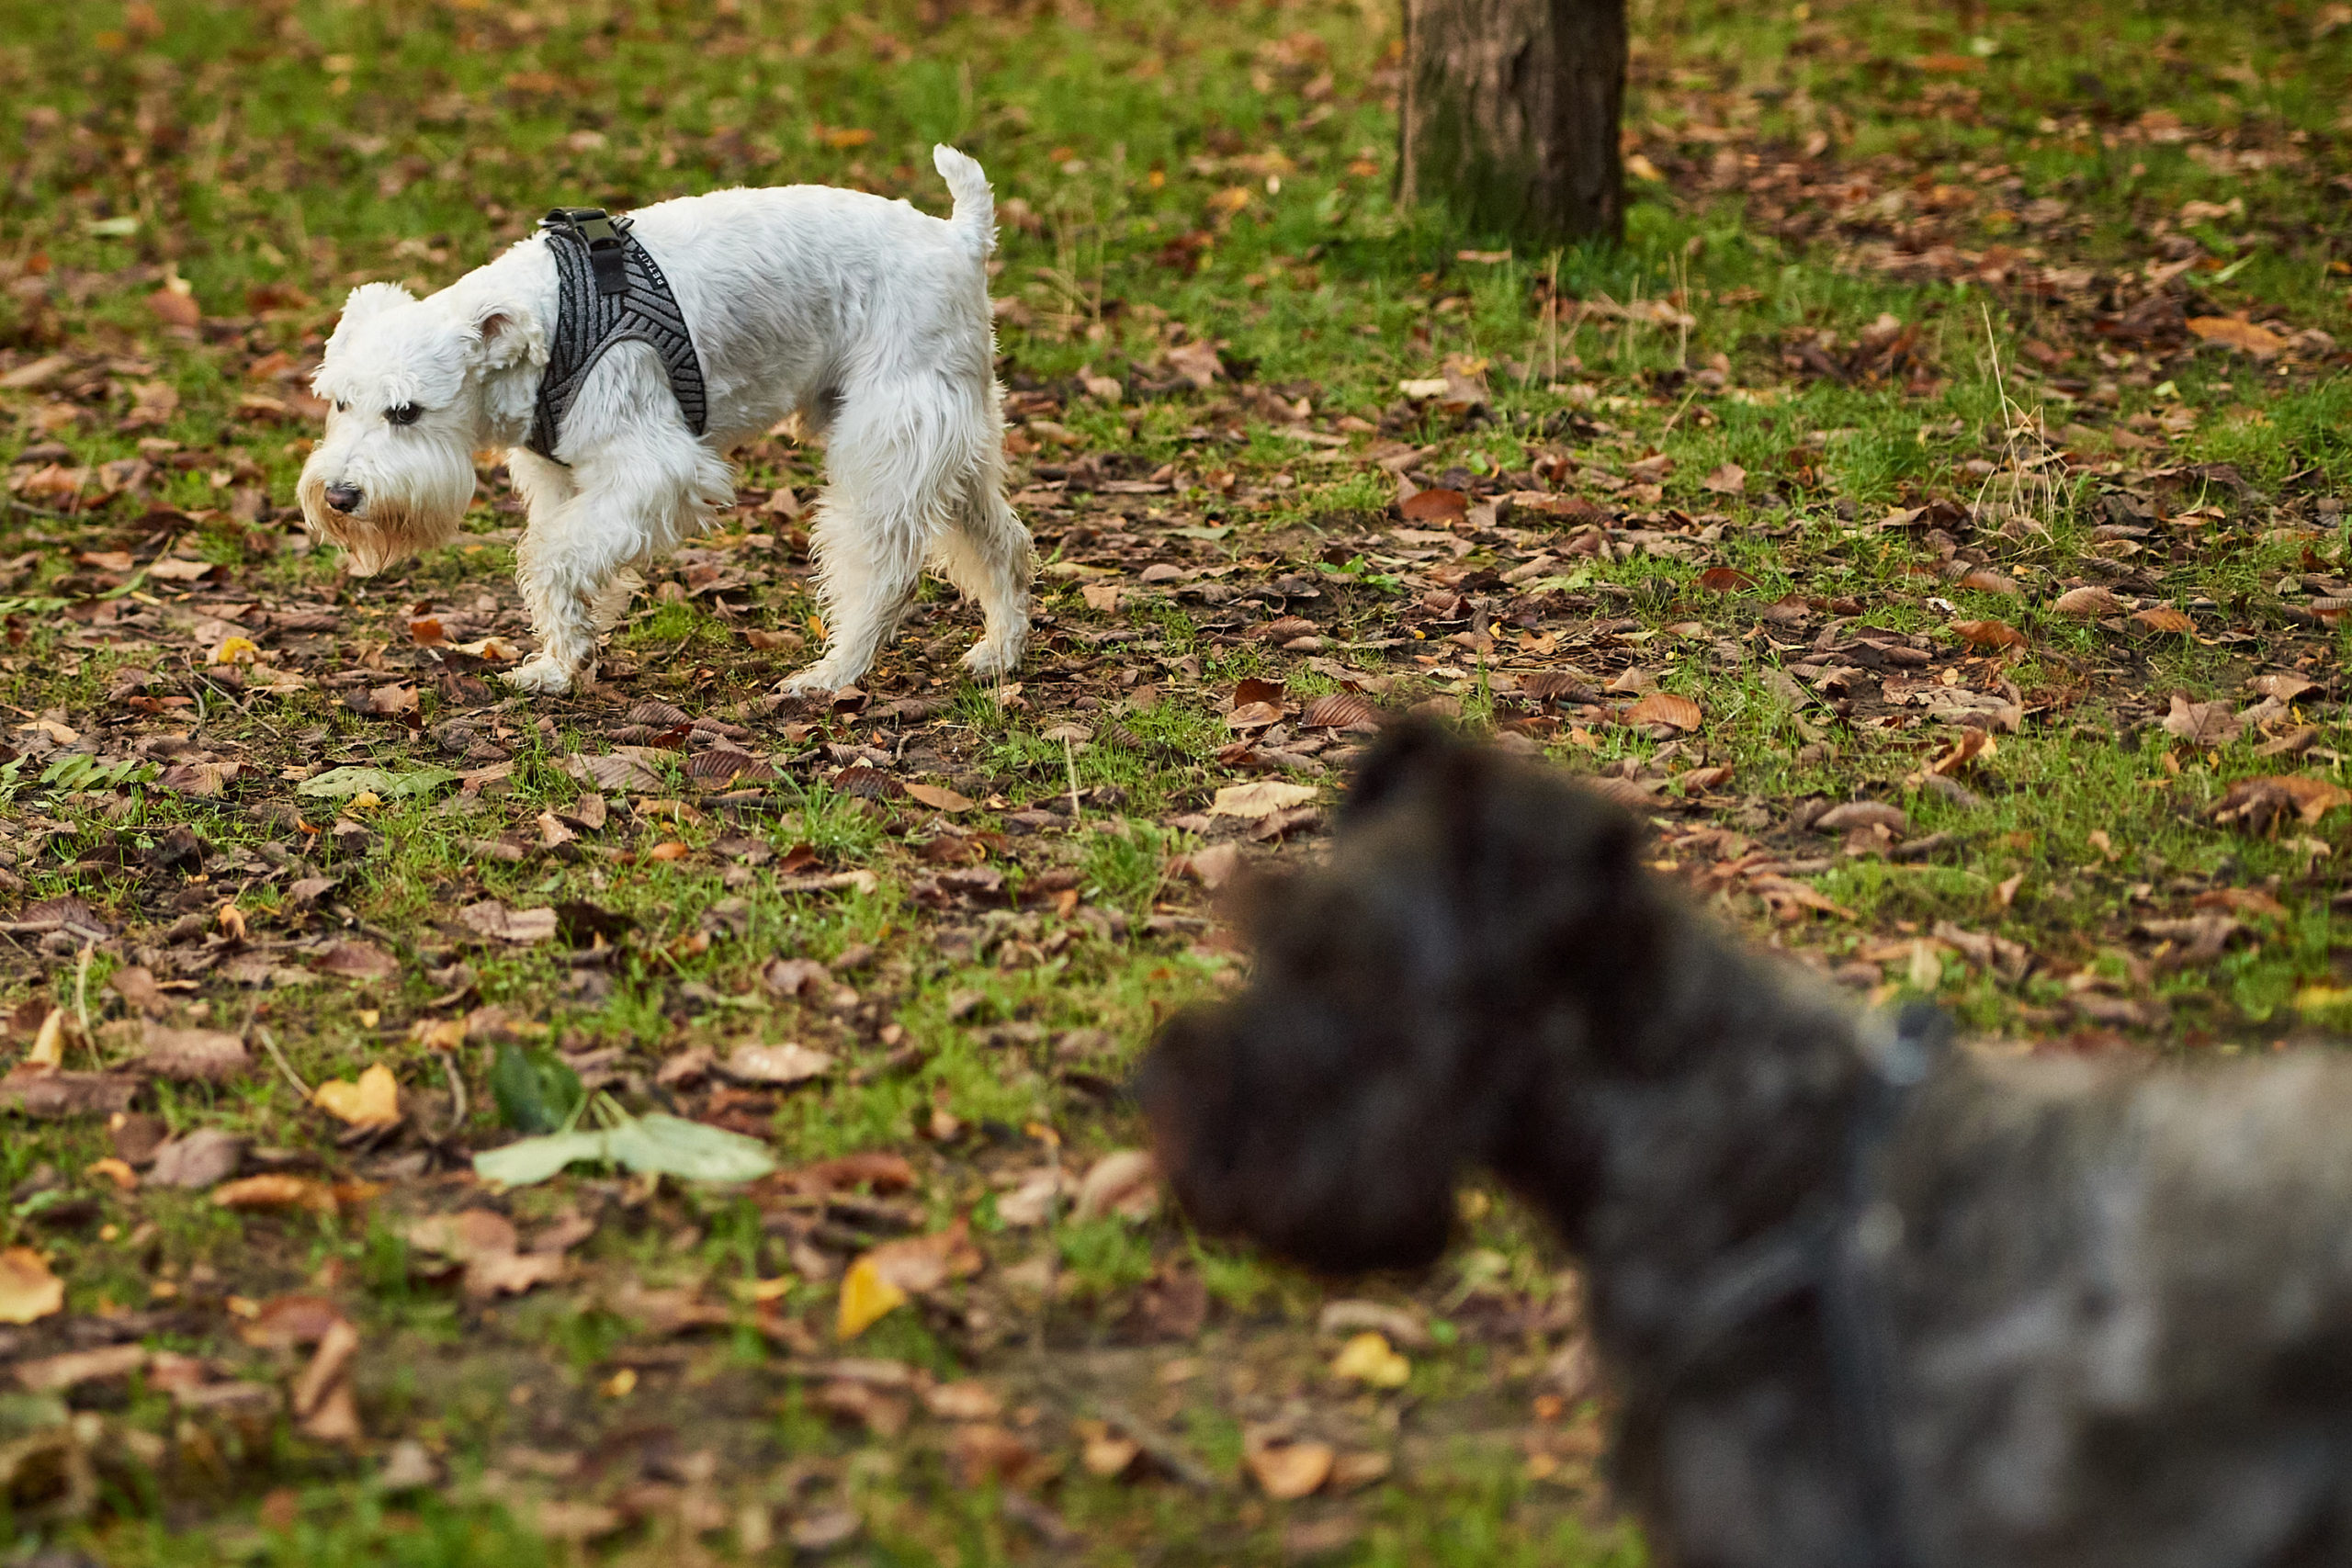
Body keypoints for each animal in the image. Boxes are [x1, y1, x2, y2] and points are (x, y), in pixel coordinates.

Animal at [294, 146, 1030, 700]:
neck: (548, 327)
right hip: (949, 446)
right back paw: (1000, 650)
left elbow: (549, 556)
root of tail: (959, 239)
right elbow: (560, 562)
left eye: (406, 412)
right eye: (339, 402)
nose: (340, 497)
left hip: (885, 446)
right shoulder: (563, 482)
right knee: (1003, 541)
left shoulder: (655, 470)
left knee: (882, 572)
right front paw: (561, 663)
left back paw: (830, 674)